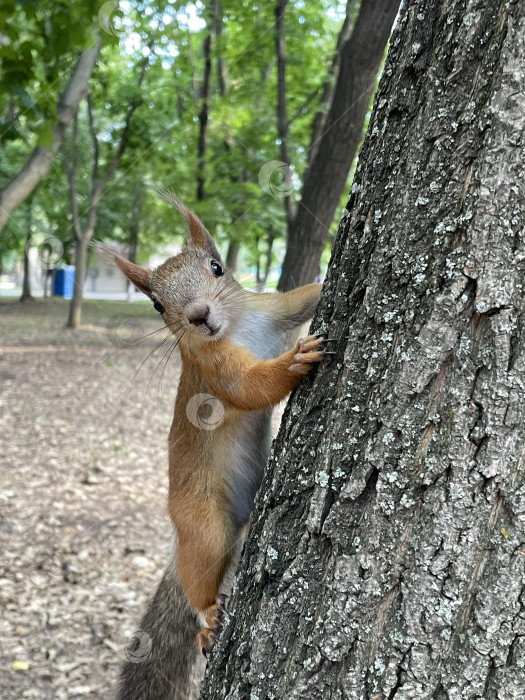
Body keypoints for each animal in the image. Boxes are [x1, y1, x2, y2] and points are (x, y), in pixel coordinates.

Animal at [112, 198, 326, 700]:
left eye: (217, 267)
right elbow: (251, 387)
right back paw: (208, 617)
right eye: (157, 304)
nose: (198, 314)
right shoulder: (216, 370)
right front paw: (295, 360)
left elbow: (305, 297)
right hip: (205, 526)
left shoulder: (273, 308)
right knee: (200, 583)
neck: (238, 325)